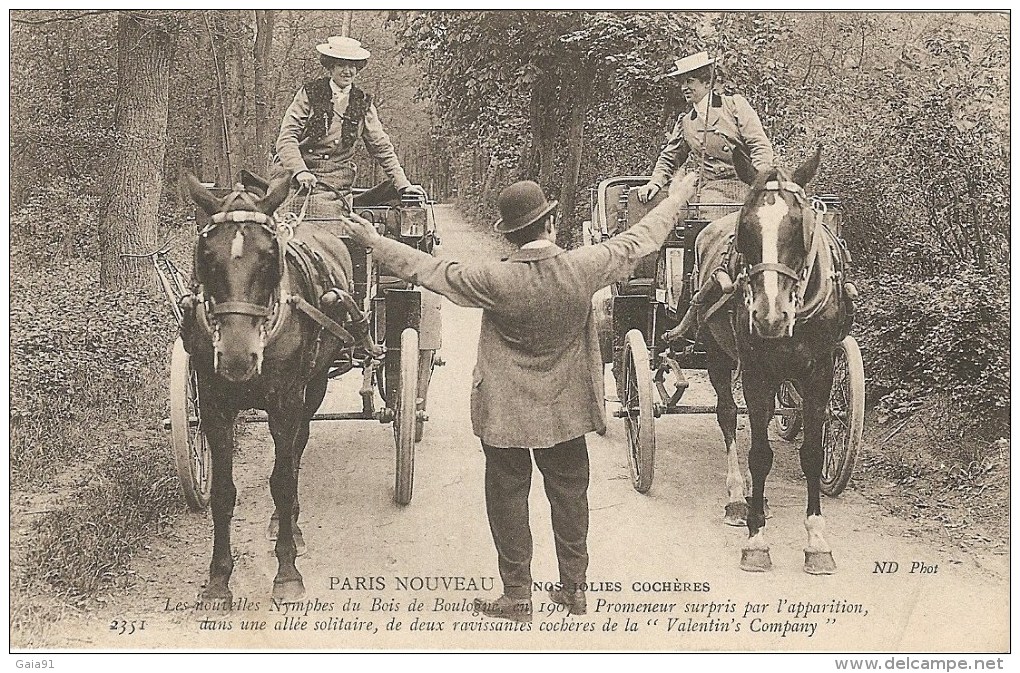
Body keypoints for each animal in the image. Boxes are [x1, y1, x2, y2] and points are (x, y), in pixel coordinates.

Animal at [183, 174, 375, 603]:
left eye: (271, 257)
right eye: (206, 255)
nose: (237, 357)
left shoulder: (286, 402)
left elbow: (283, 482)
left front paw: (287, 572)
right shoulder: (214, 405)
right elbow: (223, 492)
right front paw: (218, 578)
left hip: (314, 382)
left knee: (297, 447)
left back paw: (291, 524)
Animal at [693, 146, 852, 575]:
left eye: (800, 227)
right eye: (746, 229)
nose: (769, 316)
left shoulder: (821, 371)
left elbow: (812, 454)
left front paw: (816, 541)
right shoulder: (754, 371)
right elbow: (760, 455)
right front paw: (756, 539)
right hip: (716, 355)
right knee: (728, 416)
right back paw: (738, 497)